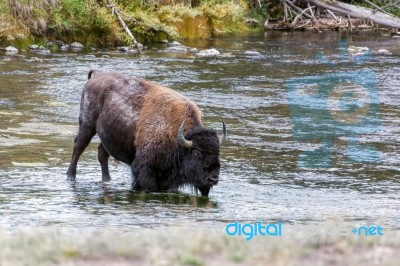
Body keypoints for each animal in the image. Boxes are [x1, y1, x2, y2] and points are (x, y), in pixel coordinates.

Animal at [67, 69, 227, 196]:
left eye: (218, 153)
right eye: (196, 153)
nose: (213, 178)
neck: (175, 135)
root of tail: (97, 75)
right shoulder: (146, 170)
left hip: (107, 135)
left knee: (102, 153)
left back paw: (107, 180)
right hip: (87, 124)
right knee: (79, 146)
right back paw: (70, 176)